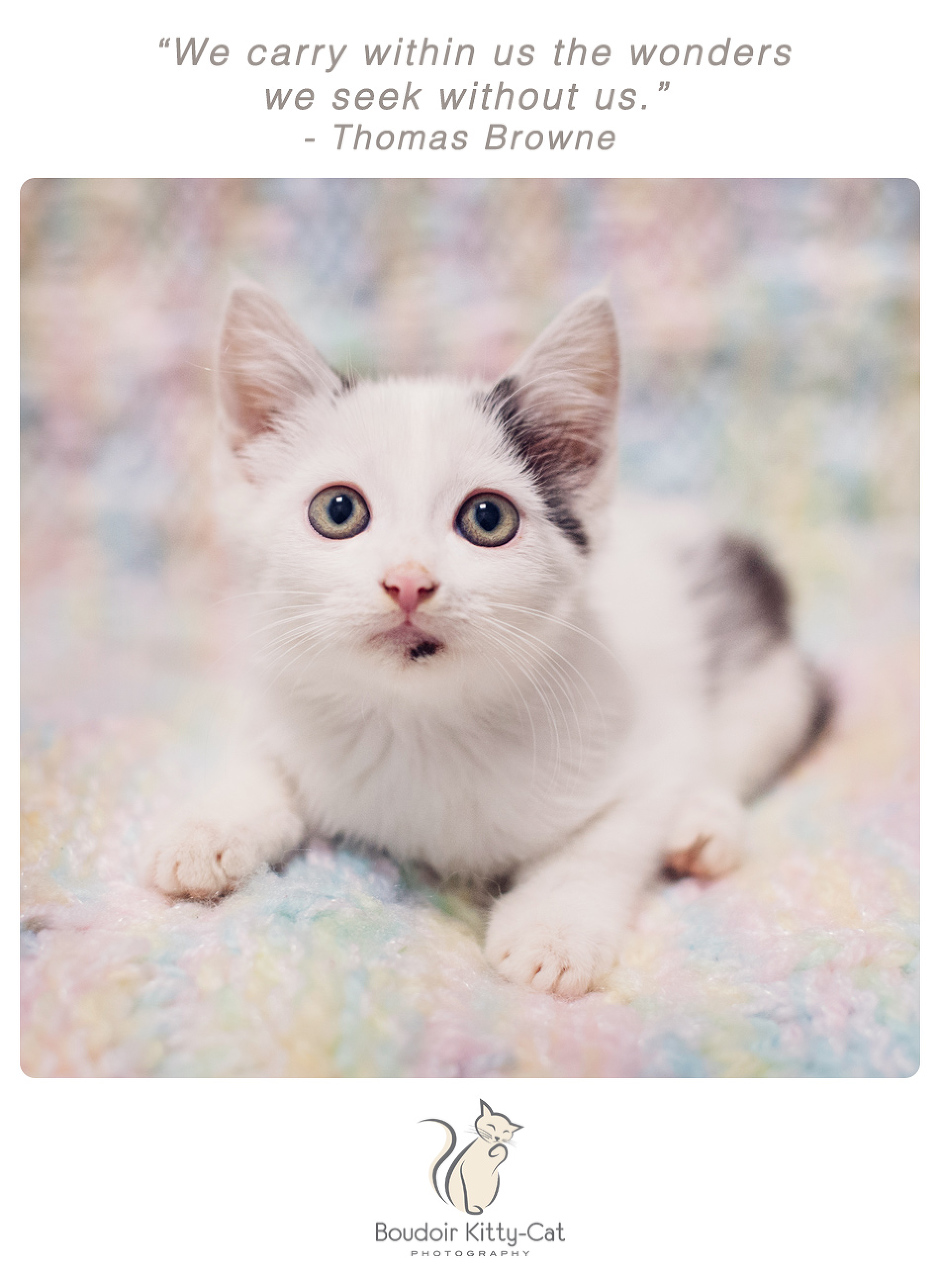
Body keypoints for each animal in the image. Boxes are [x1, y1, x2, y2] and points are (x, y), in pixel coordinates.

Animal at [152, 284, 826, 1000]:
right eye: (338, 510)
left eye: (488, 517)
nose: (409, 581)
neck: (418, 723)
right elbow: (260, 762)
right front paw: (205, 829)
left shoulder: (649, 744)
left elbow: (602, 844)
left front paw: (554, 932)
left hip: (772, 687)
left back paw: (702, 827)